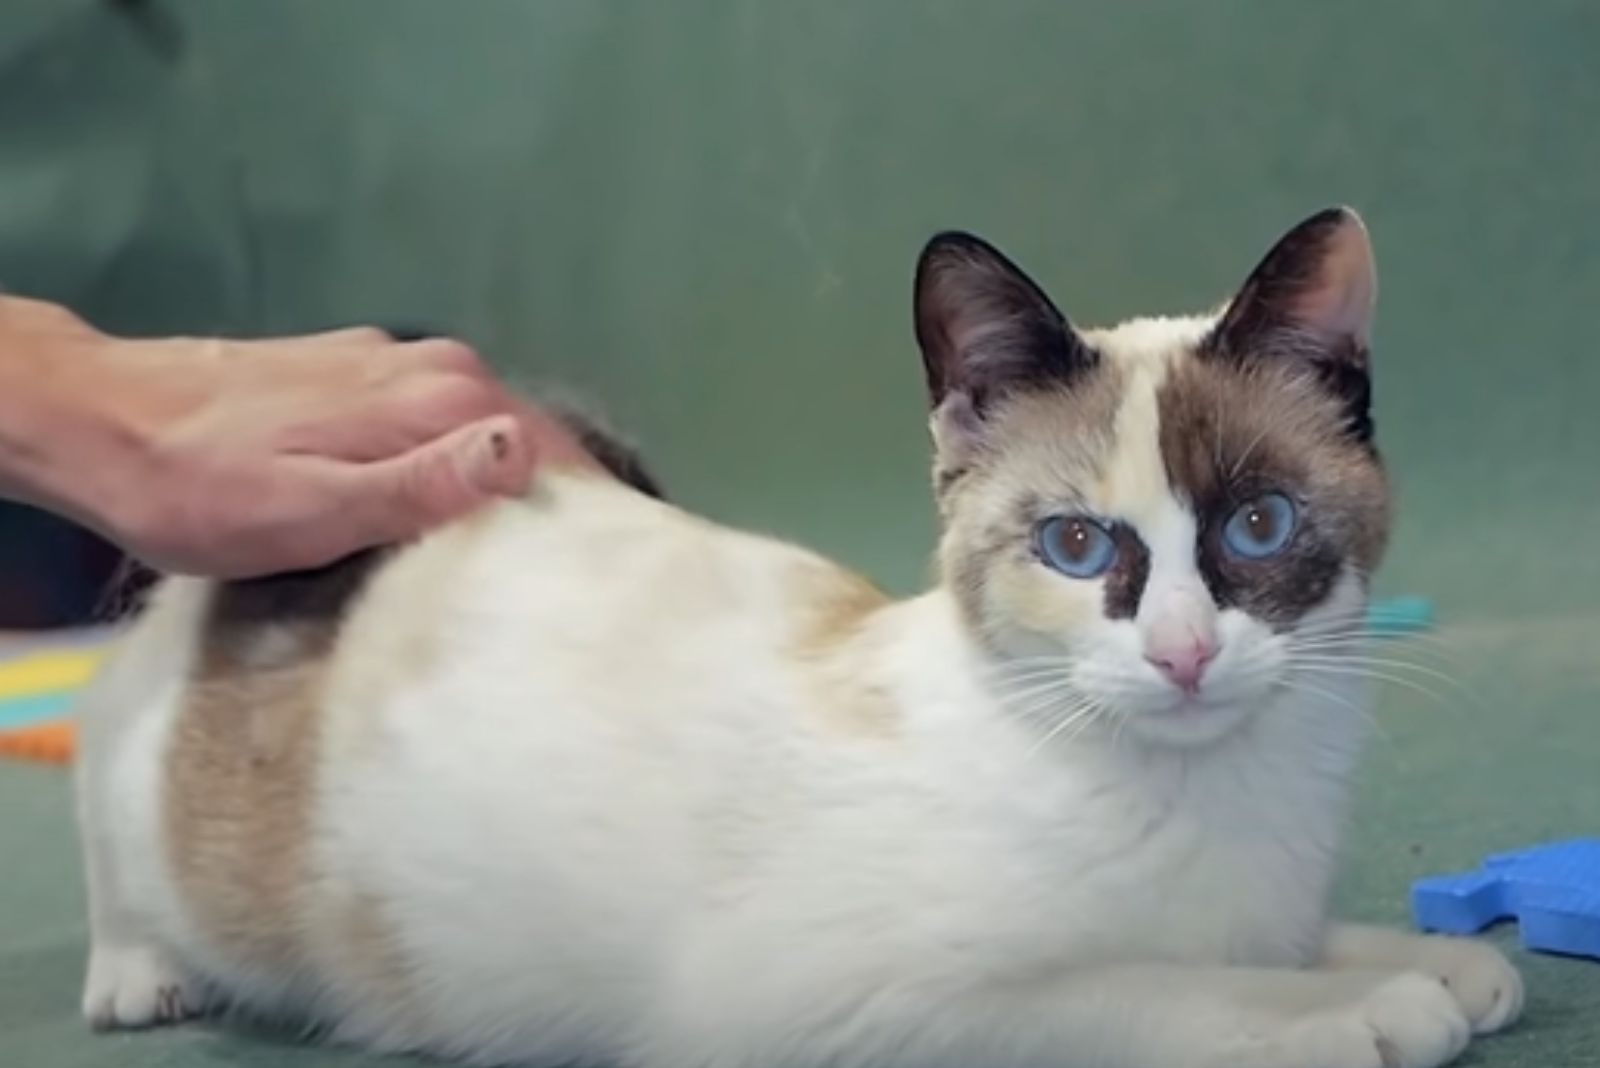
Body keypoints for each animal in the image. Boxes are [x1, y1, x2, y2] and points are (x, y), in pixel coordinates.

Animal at [75, 207, 1523, 1068]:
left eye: (1259, 526)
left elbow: (1282, 945)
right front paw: (1352, 1014)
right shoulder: (858, 1007)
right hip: (149, 751)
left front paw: (1441, 964)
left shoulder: (1256, 912)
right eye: (1074, 547)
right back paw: (138, 972)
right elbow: (1147, 994)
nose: (1181, 654)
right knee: (108, 818)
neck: (1220, 799)